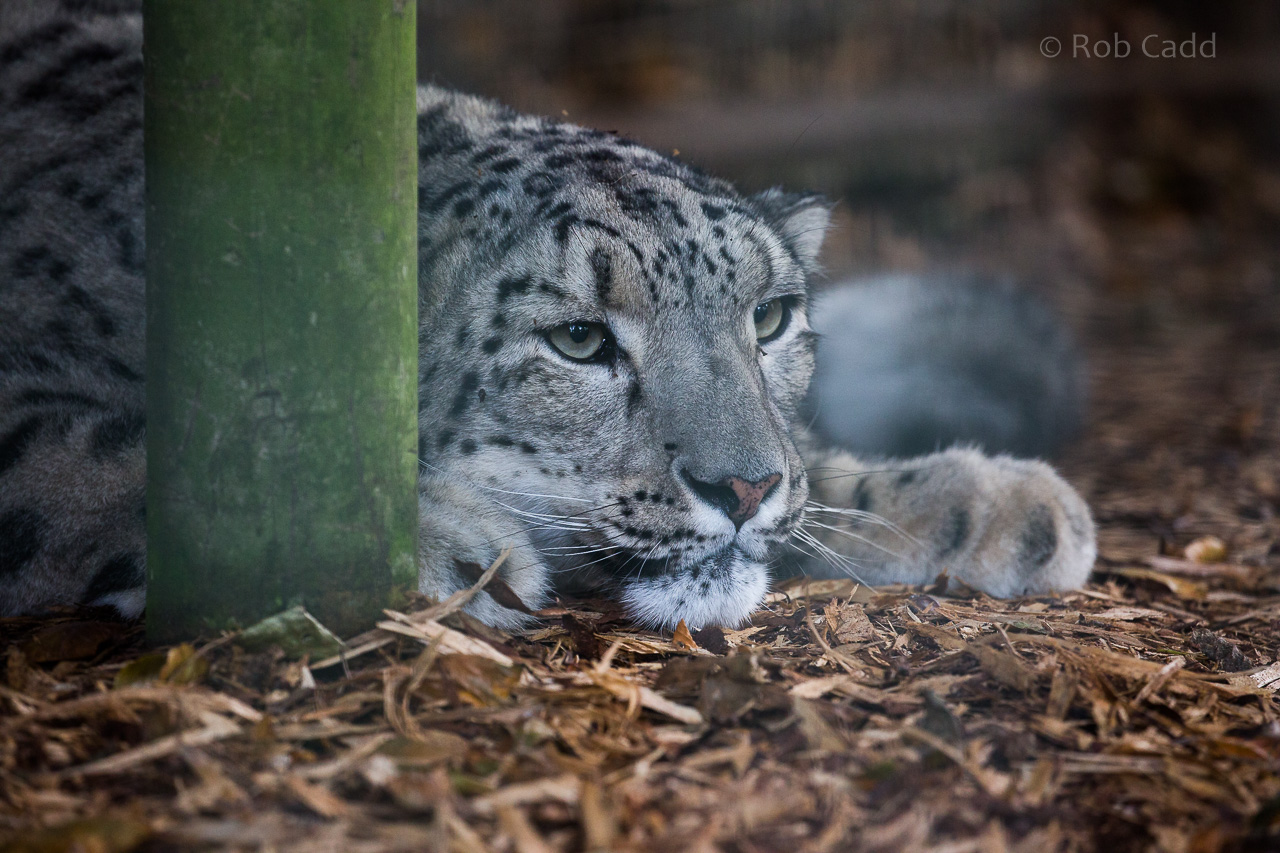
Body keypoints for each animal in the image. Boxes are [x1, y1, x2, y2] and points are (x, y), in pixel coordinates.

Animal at [0, 0, 1095, 630]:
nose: (742, 488)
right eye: (578, 339)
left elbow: (818, 464)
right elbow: (119, 451)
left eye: (770, 319)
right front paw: (449, 540)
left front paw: (999, 504)